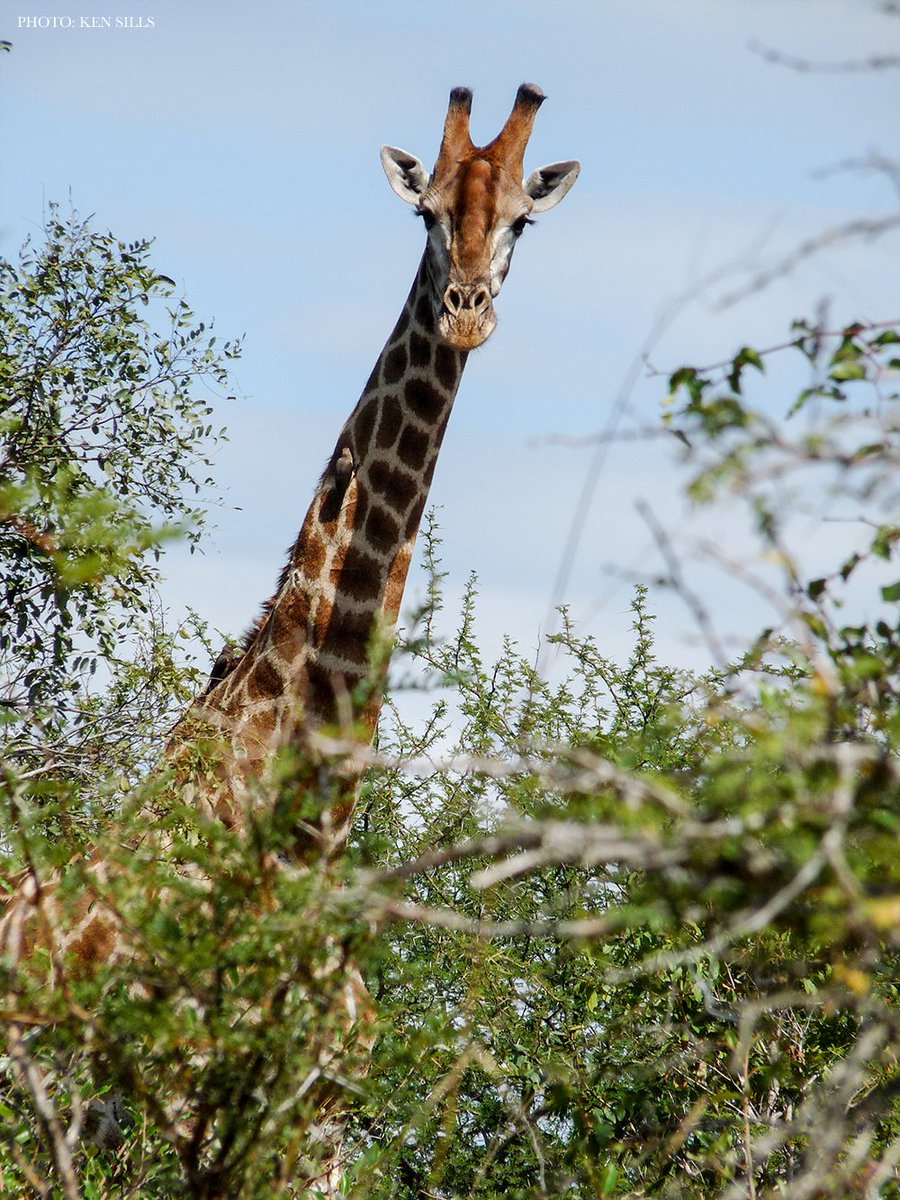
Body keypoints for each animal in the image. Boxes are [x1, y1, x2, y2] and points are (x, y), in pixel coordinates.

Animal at [1, 84, 579, 1194]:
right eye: (425, 213)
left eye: (522, 221)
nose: (467, 312)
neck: (304, 833)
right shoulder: (181, 1103)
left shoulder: (316, 1127)